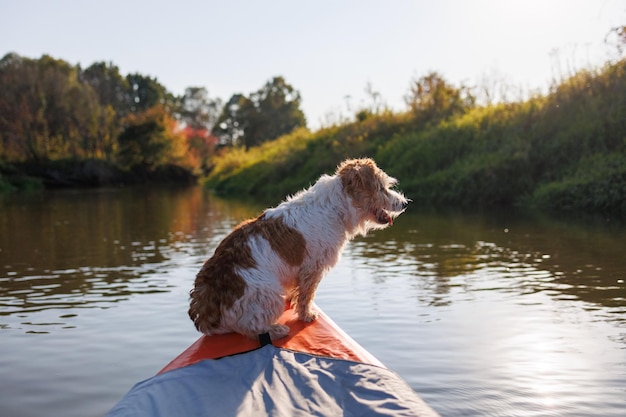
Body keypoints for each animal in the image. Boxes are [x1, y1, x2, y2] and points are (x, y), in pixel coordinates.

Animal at [188, 158, 408, 340]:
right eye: (382, 188)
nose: (405, 203)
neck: (335, 207)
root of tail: (205, 310)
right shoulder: (312, 268)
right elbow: (306, 295)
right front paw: (307, 315)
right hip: (267, 292)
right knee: (248, 327)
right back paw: (275, 330)